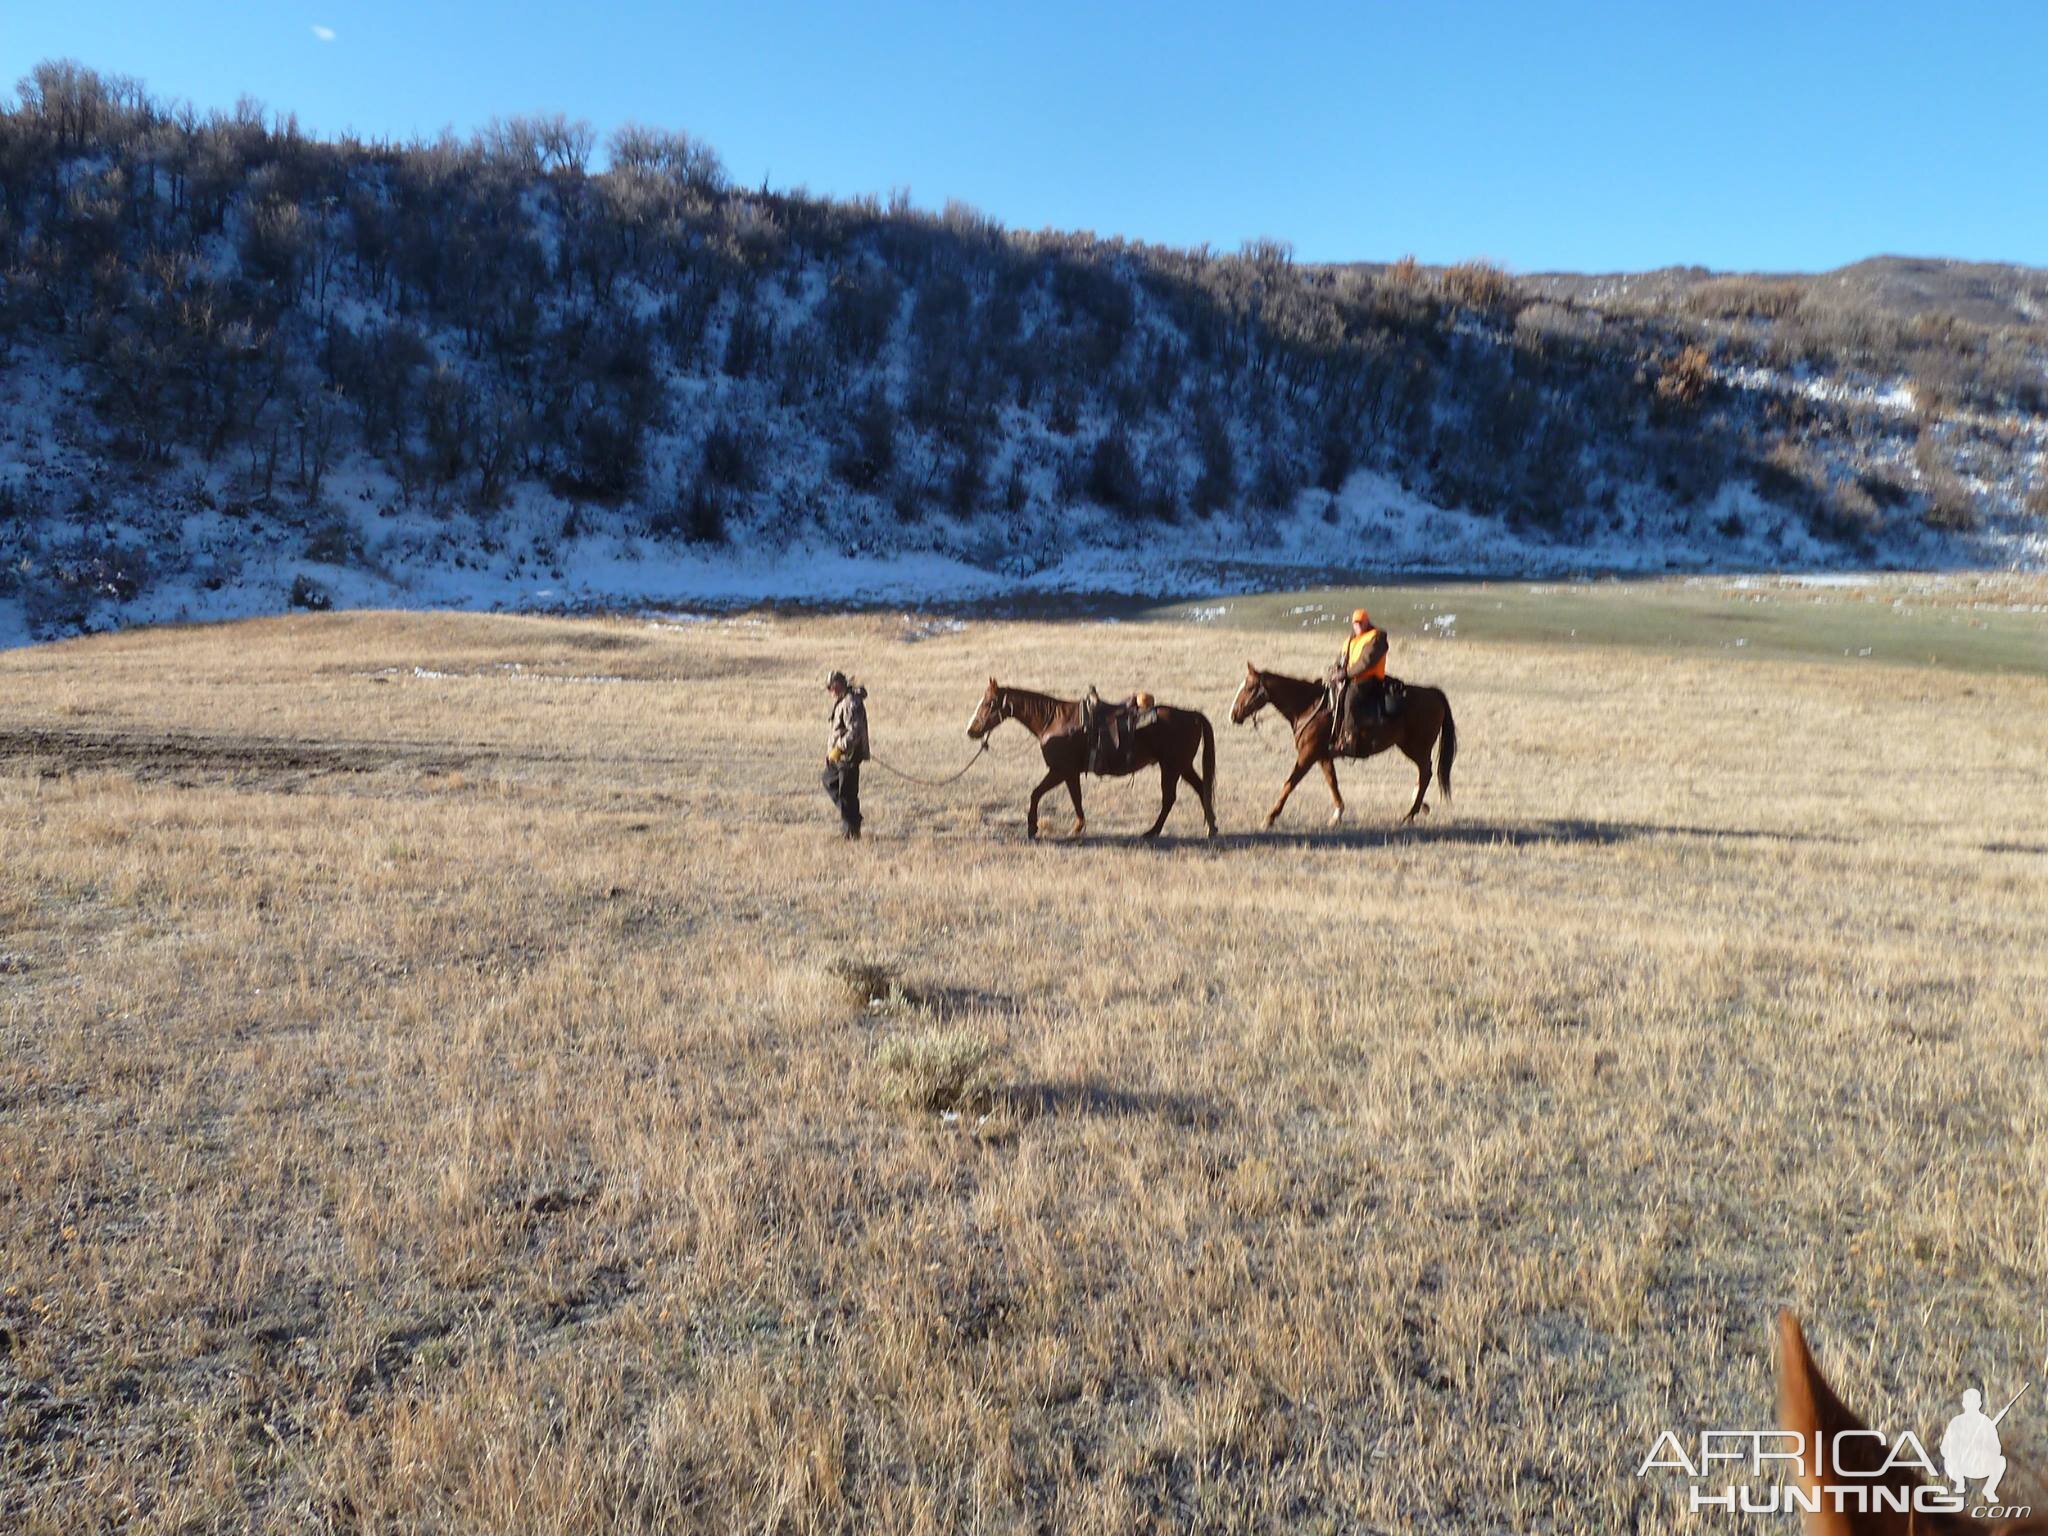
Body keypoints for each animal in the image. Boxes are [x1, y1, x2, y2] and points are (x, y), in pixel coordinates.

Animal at [962, 675, 1204, 843]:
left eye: (988, 703)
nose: (971, 730)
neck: (1052, 721)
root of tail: (1191, 715)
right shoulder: (1070, 773)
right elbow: (1075, 798)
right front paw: (1077, 827)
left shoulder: (1060, 770)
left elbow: (1037, 793)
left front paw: (1033, 828)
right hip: (1182, 766)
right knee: (1201, 788)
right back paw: (1209, 827)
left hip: (1172, 767)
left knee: (1170, 798)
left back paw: (1153, 831)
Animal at [1228, 663, 1458, 831]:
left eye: (1249, 688)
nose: (1233, 714)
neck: (1308, 706)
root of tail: (1433, 693)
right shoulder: (1322, 755)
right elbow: (1332, 782)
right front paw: (1337, 814)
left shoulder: (1307, 755)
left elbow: (1289, 783)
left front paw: (1270, 817)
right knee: (1424, 773)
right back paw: (1419, 807)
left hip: (1415, 746)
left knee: (1426, 772)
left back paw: (1411, 814)